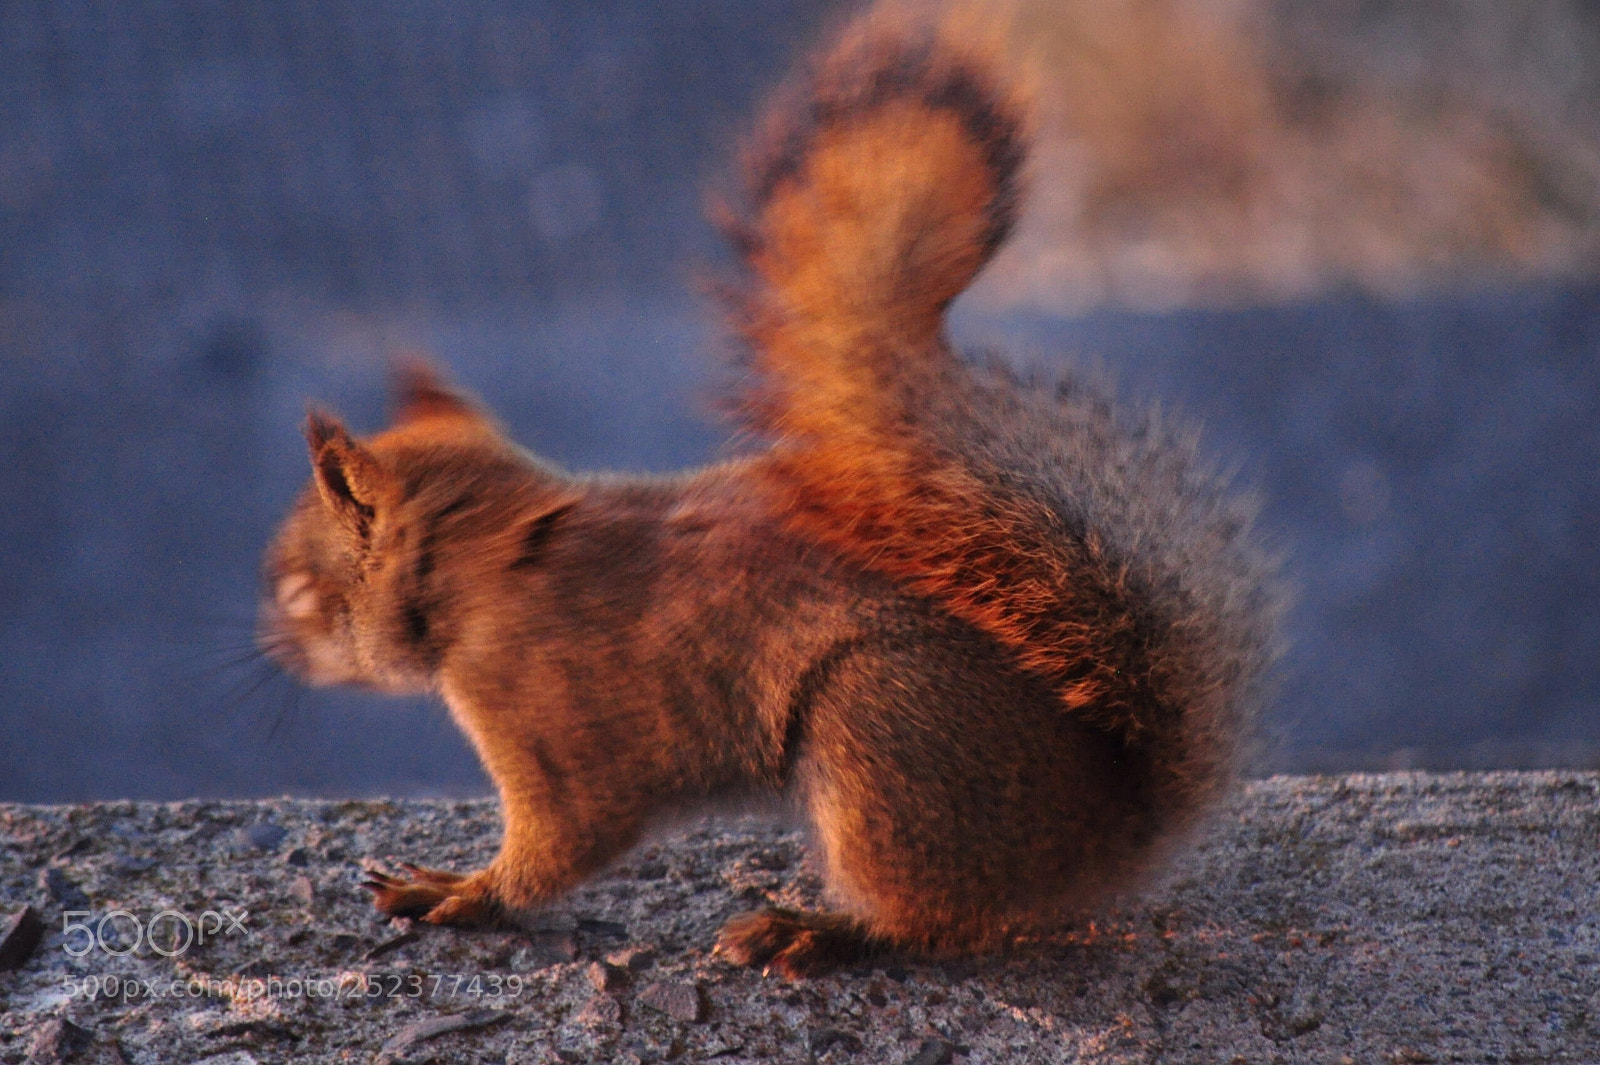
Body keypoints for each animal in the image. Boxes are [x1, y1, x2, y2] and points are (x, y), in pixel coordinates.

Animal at [258, 14, 1279, 978]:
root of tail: (1107, 832)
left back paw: (814, 930)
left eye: (298, 587)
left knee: (928, 919)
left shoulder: (553, 725)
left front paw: (458, 892)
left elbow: (562, 841)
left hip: (881, 742)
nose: (273, 653)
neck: (484, 564)